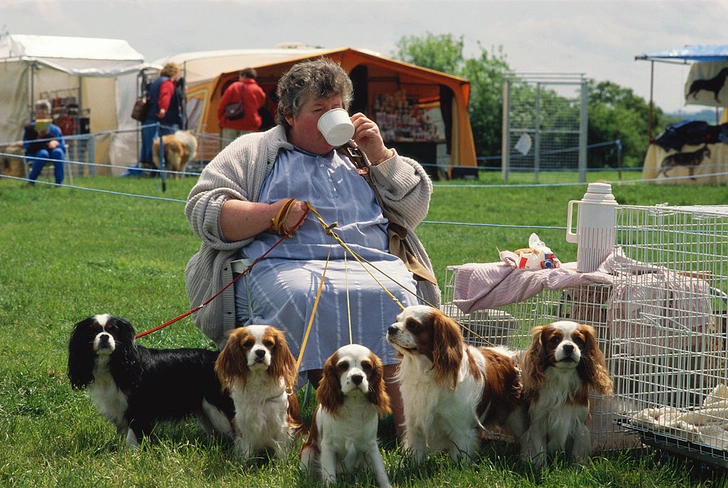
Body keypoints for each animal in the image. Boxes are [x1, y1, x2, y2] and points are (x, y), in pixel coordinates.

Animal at [67, 314, 235, 448]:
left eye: (113, 330)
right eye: (92, 330)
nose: (104, 336)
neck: (114, 365)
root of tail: (217, 357)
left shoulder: (138, 408)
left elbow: (132, 437)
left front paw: (132, 456)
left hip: (217, 408)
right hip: (205, 411)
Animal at [213, 326, 302, 460]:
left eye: (269, 343)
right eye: (247, 344)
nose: (260, 352)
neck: (258, 380)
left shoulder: (280, 423)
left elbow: (281, 451)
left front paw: (281, 463)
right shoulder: (244, 423)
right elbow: (246, 451)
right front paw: (244, 463)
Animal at [300, 344, 392, 488]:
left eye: (367, 366)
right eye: (343, 366)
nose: (357, 377)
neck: (353, 404)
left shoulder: (371, 446)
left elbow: (380, 471)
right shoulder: (328, 446)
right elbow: (329, 475)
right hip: (307, 451)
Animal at [384, 306, 528, 464]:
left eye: (413, 325)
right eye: (397, 320)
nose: (391, 328)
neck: (426, 371)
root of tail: (515, 358)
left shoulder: (461, 431)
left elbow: (459, 461)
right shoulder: (415, 424)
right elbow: (415, 454)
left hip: (519, 420)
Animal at [516, 320, 616, 468]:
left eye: (578, 340)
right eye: (554, 340)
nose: (569, 347)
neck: (562, 377)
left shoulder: (579, 425)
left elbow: (577, 453)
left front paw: (577, 469)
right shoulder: (538, 423)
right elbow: (539, 451)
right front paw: (540, 468)